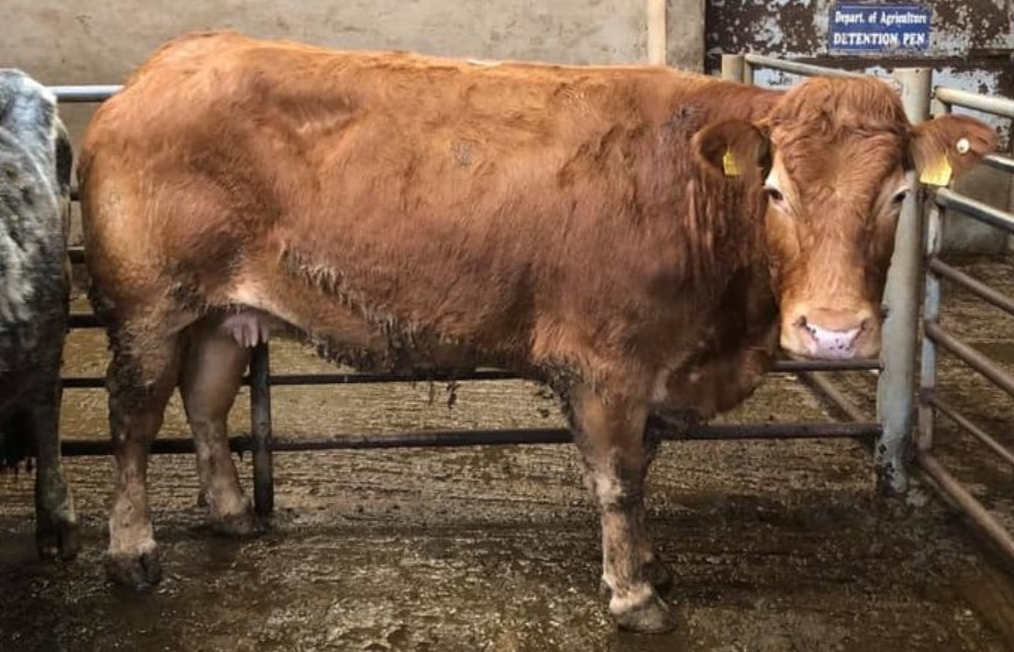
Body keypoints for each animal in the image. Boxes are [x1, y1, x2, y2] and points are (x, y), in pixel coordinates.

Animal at [77, 31, 996, 633]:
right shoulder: (605, 364)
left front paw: (650, 565)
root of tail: (162, 67)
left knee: (204, 402)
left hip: (218, 313)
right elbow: (619, 479)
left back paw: (232, 513)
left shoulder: (654, 369)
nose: (834, 333)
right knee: (134, 418)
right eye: (775, 191)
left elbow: (641, 471)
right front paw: (634, 597)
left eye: (899, 195)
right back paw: (131, 553)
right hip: (148, 306)